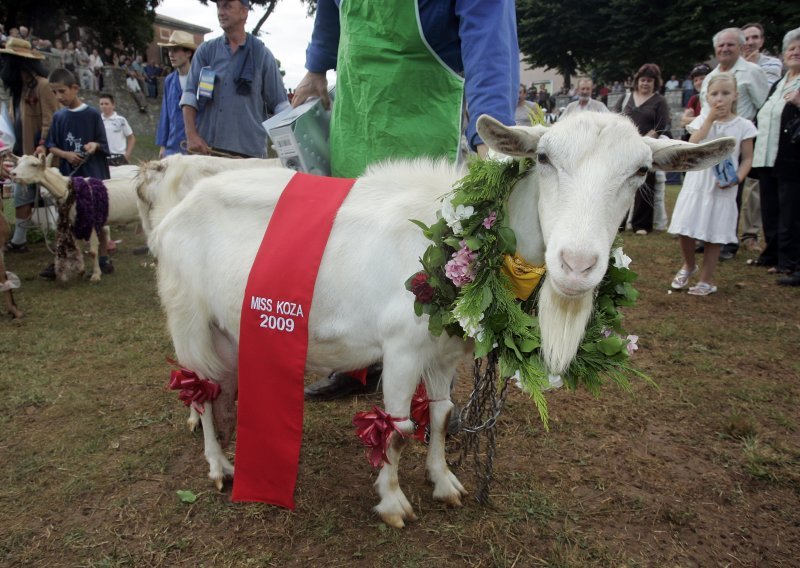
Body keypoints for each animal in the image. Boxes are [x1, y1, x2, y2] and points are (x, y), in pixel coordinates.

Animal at [11, 154, 139, 280]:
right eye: (18, 162)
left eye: (34, 164)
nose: (13, 174)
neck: (69, 191)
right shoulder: (74, 223)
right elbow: (77, 248)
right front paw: (81, 271)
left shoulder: (91, 223)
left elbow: (93, 252)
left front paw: (96, 275)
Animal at [153, 112, 736, 528]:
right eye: (545, 157)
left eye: (641, 170)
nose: (577, 265)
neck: (459, 237)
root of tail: (173, 212)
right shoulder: (400, 348)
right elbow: (395, 427)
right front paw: (393, 503)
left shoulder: (445, 350)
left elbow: (439, 415)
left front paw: (445, 483)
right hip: (188, 319)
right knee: (198, 389)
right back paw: (220, 466)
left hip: (231, 328)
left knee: (223, 385)